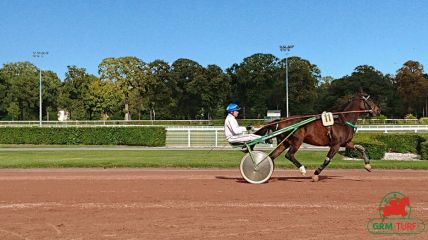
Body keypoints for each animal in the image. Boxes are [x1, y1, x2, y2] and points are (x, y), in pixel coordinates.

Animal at [254, 92, 382, 182]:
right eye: (370, 99)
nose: (378, 110)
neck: (342, 121)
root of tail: (281, 120)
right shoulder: (335, 145)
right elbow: (327, 160)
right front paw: (316, 174)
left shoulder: (346, 143)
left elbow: (362, 148)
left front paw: (368, 165)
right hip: (297, 141)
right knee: (289, 155)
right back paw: (302, 169)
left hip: (285, 142)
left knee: (272, 156)